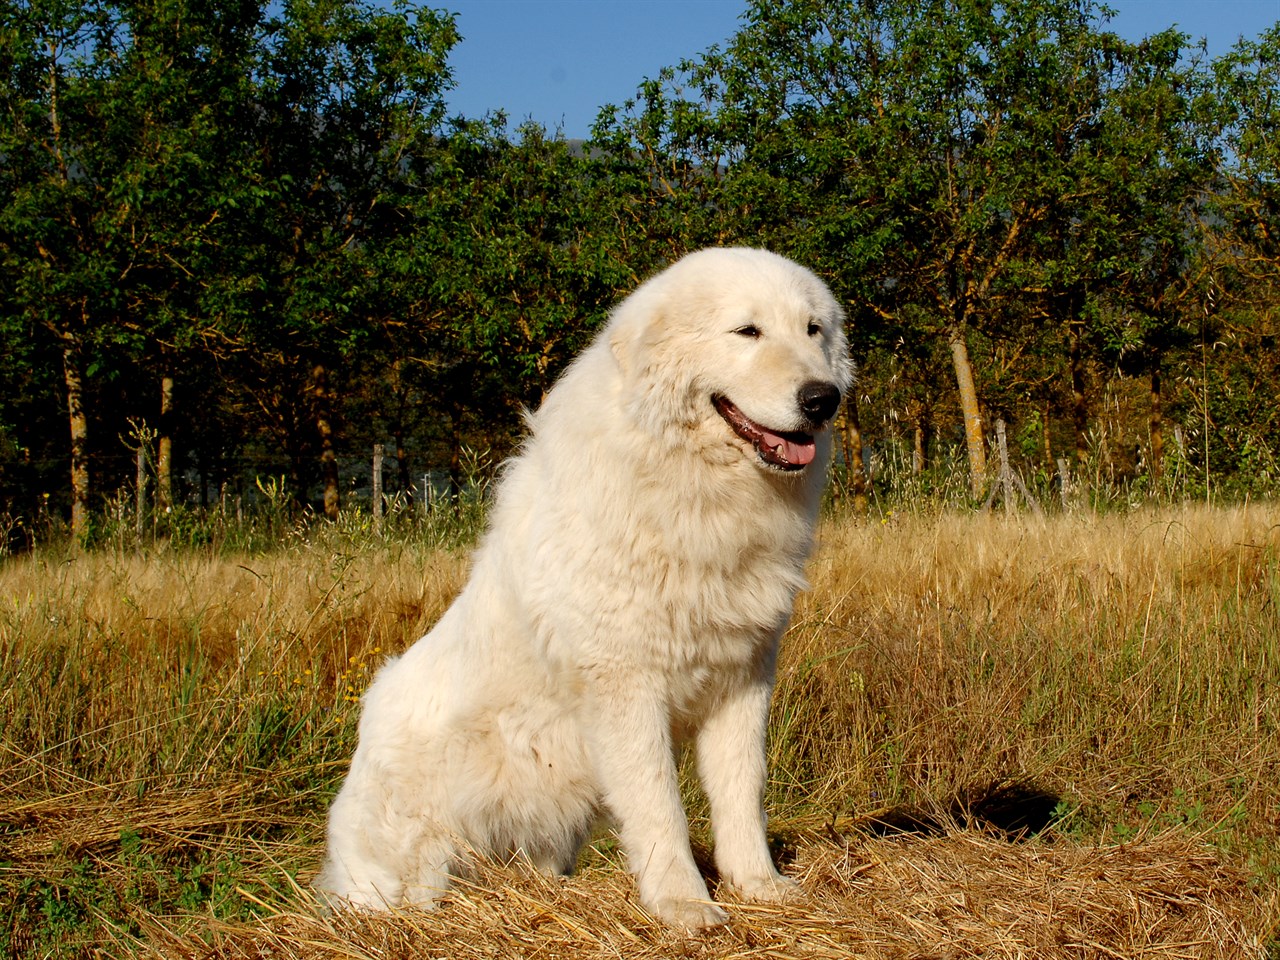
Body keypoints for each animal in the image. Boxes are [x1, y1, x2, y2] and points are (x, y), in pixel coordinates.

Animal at [316, 245, 855, 931]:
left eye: (813, 330)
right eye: (747, 331)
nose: (823, 399)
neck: (688, 490)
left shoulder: (743, 677)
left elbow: (742, 792)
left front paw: (759, 886)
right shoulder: (625, 687)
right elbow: (661, 807)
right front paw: (684, 903)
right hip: (416, 862)